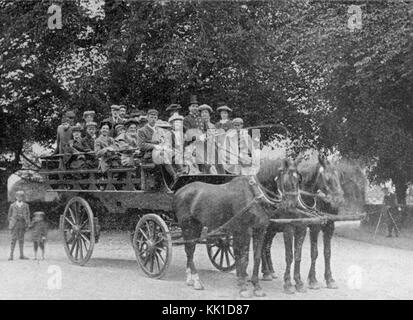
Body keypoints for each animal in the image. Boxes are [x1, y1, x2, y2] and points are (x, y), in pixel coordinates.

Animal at [172, 158, 300, 298]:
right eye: (288, 178)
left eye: (298, 179)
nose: (293, 205)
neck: (254, 194)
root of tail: (180, 191)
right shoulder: (245, 230)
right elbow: (244, 258)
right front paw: (243, 287)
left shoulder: (260, 230)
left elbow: (256, 257)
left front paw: (257, 287)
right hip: (187, 226)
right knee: (189, 250)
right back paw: (195, 280)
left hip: (197, 226)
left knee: (190, 248)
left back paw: (190, 278)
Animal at [260, 154, 344, 292]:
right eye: (327, 178)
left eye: (339, 176)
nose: (339, 200)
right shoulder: (304, 228)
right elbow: (299, 254)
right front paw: (308, 281)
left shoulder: (325, 227)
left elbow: (324, 253)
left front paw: (328, 279)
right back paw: (266, 272)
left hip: (272, 229)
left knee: (266, 246)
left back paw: (269, 271)